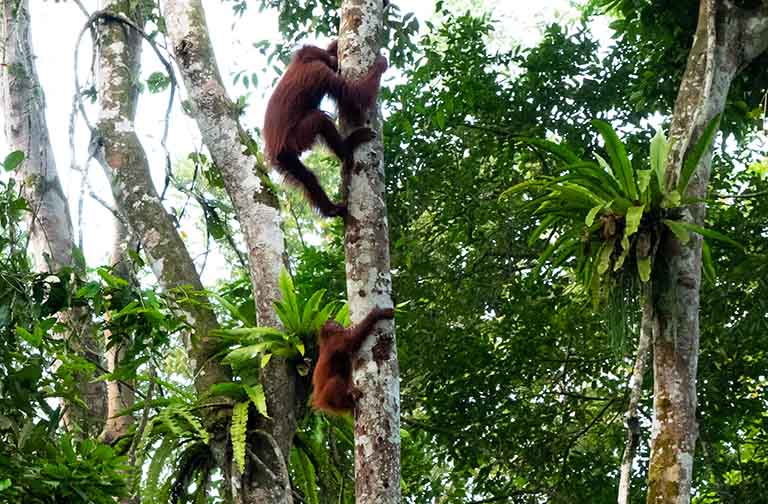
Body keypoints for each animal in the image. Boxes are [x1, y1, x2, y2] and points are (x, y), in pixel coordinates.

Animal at [263, 40, 388, 218]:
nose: (335, 63)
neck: (303, 60)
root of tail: (273, 151)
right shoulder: (321, 72)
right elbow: (354, 97)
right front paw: (381, 64)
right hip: (296, 139)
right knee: (319, 119)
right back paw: (347, 148)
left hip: (285, 158)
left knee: (305, 177)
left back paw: (330, 209)